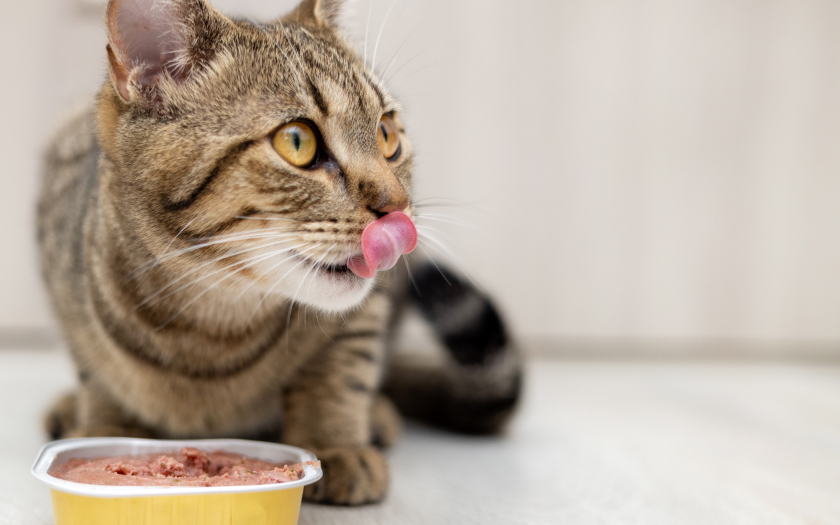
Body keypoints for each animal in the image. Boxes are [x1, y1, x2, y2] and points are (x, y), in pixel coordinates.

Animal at [39, 0, 520, 504]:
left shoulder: (370, 306)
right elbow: (99, 374)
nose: (400, 208)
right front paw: (102, 430)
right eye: (297, 141)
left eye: (387, 135)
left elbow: (342, 369)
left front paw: (335, 442)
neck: (210, 326)